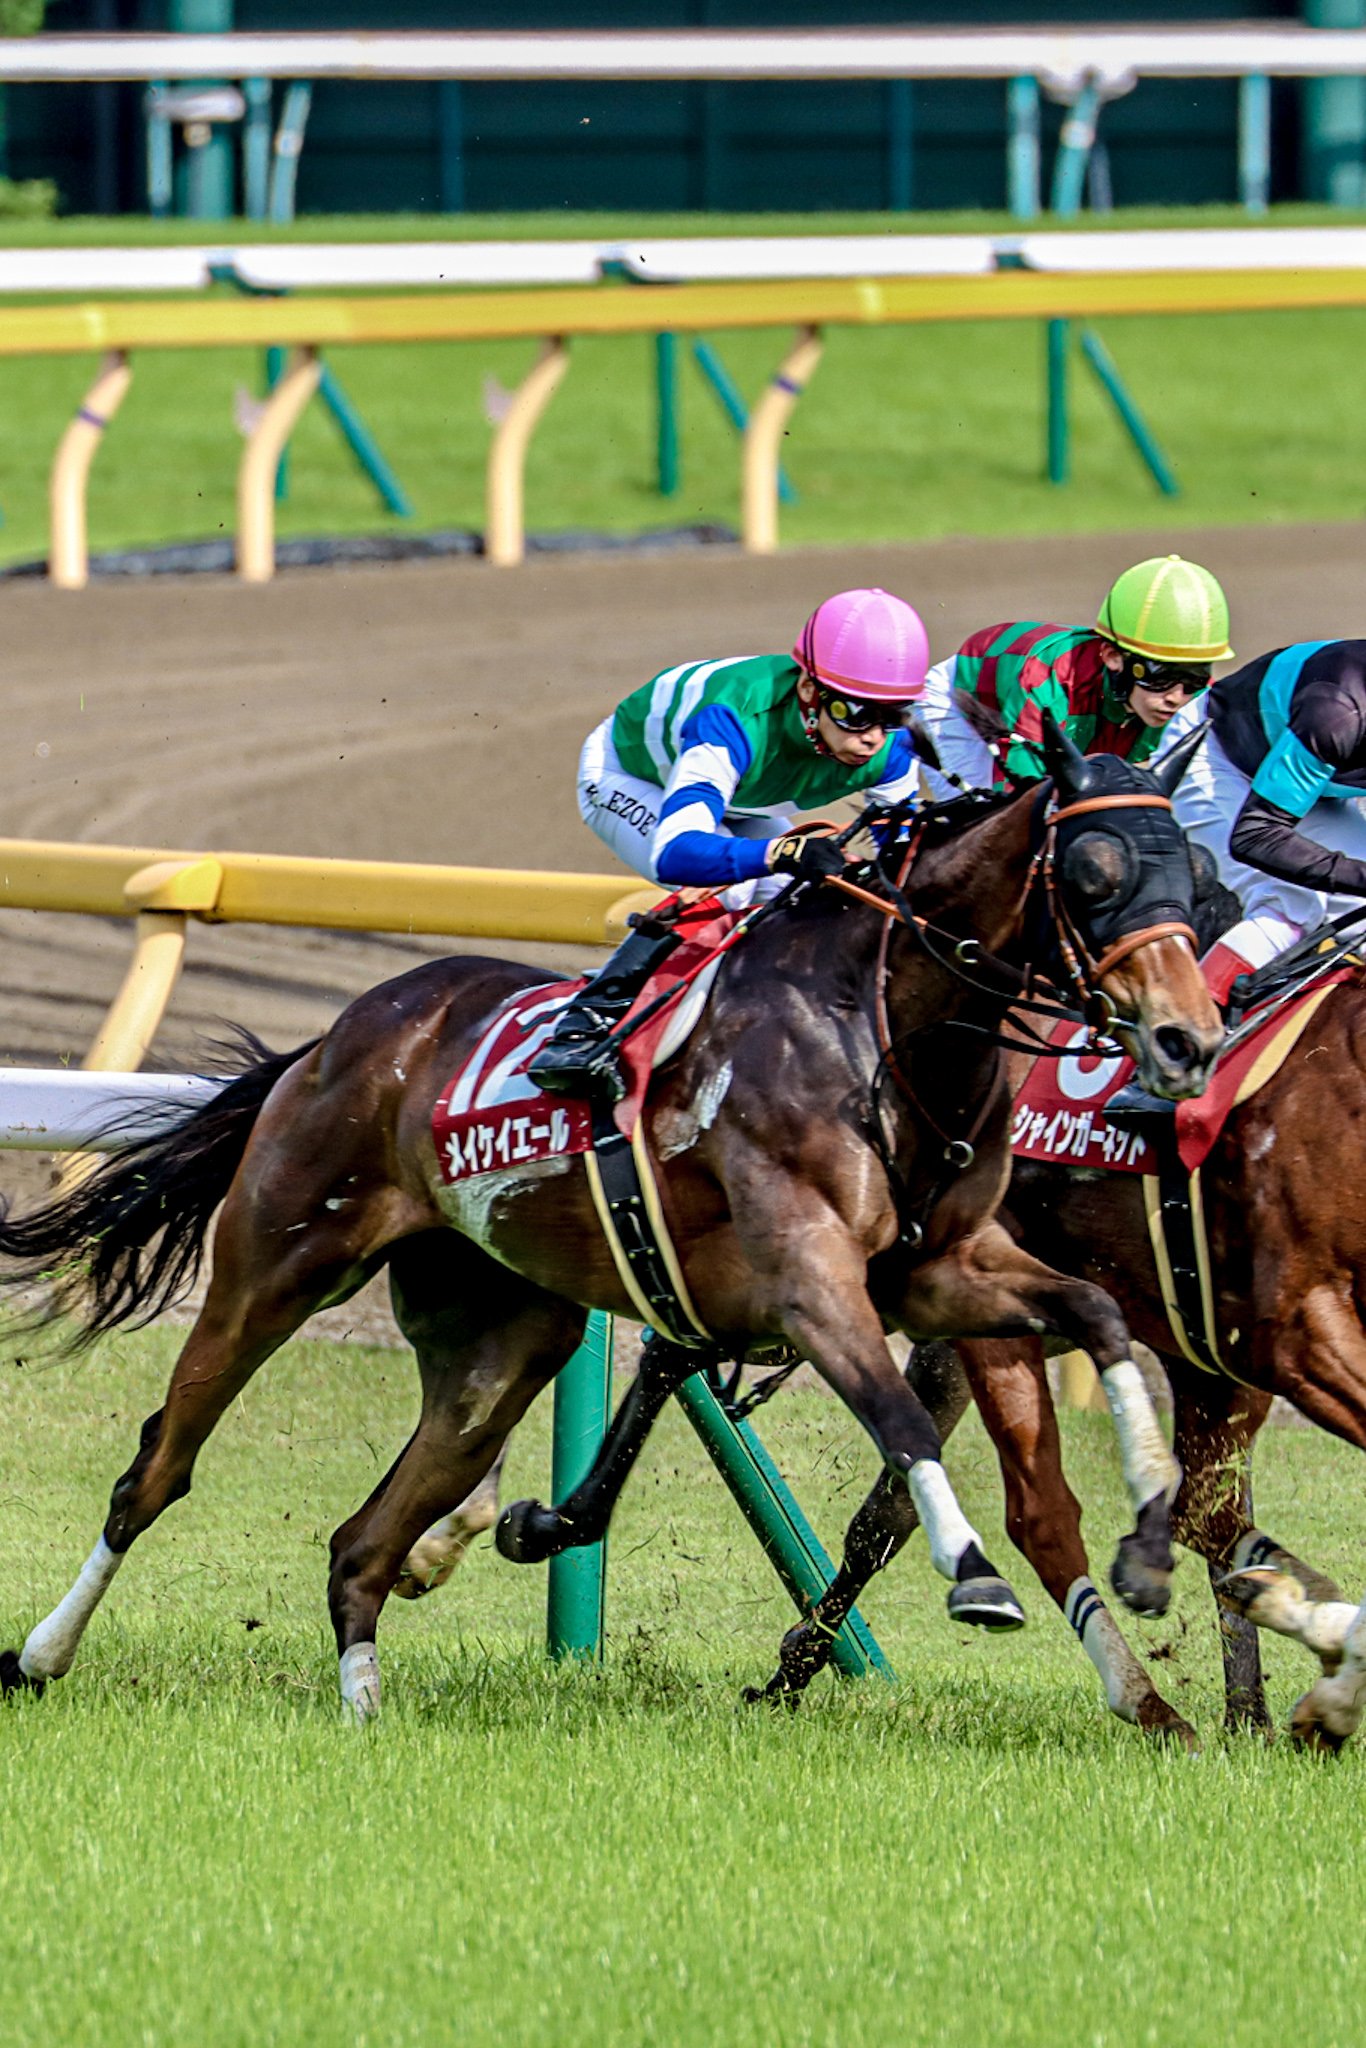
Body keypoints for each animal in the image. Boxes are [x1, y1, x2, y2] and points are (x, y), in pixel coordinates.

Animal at [0, 717, 1220, 1724]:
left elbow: (1101, 1315)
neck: (880, 1026)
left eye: (1197, 874)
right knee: (157, 1470)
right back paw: (41, 1656)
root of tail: (339, 1034)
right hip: (275, 1268)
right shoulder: (810, 1280)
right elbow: (901, 1418)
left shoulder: (940, 1271)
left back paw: (364, 1707)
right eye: (1096, 873)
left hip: (500, 1343)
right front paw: (974, 1575)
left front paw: (1152, 1533)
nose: (1188, 1040)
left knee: (362, 1542)